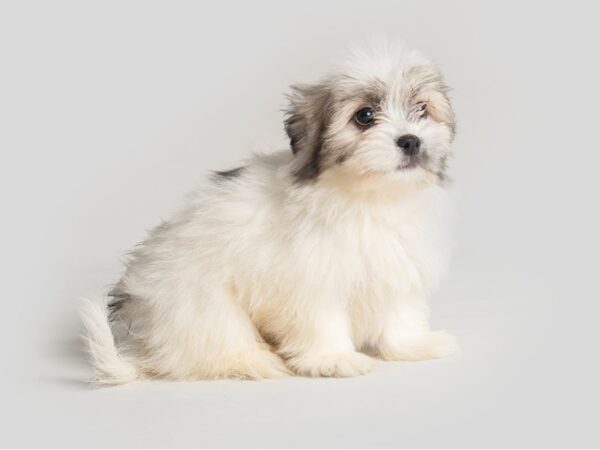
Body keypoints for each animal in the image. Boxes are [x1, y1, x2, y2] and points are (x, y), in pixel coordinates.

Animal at [79, 44, 460, 384]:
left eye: (422, 109)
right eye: (365, 116)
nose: (410, 140)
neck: (368, 199)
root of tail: (145, 345)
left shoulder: (398, 264)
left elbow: (399, 314)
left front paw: (414, 345)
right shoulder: (309, 279)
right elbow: (323, 319)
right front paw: (333, 358)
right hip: (203, 304)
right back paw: (252, 360)